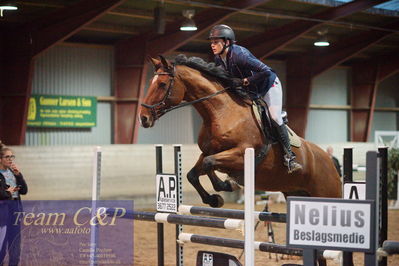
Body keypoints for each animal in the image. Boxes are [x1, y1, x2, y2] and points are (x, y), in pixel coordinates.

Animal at [139, 54, 342, 208]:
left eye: (162, 84)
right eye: (151, 82)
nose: (143, 118)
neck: (221, 112)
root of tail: (329, 161)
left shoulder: (242, 153)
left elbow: (208, 163)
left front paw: (227, 185)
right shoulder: (208, 151)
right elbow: (194, 172)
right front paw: (214, 199)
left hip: (327, 193)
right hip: (296, 191)